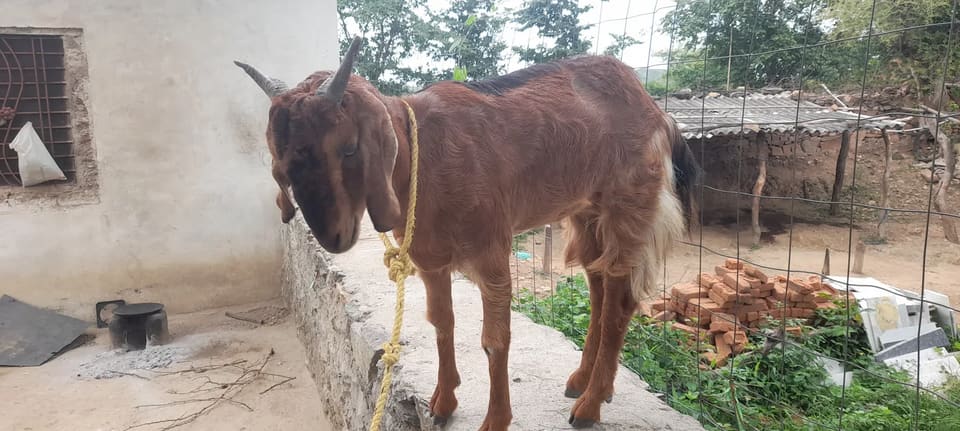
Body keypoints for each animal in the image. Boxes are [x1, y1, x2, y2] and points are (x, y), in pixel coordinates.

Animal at [236, 36, 700, 430]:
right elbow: (441, 322)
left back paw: (589, 405)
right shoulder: (430, 259)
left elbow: (495, 340)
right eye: (282, 160)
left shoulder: (492, 252)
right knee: (598, 283)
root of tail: (656, 110)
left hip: (629, 205)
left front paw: (495, 420)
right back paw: (582, 382)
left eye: (348, 148)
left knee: (620, 298)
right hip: (587, 210)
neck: (421, 157)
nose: (331, 236)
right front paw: (442, 402)